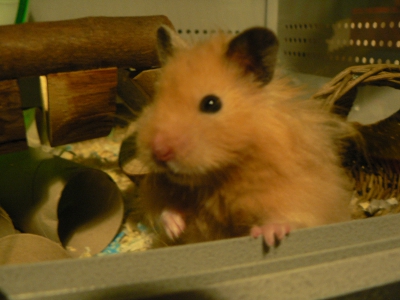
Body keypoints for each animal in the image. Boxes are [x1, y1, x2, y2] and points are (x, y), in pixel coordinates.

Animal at [131, 25, 354, 246]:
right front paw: (174, 229)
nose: (159, 152)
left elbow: (288, 216)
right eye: (156, 98)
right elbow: (163, 210)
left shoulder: (301, 194)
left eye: (211, 103)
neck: (221, 175)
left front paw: (268, 235)